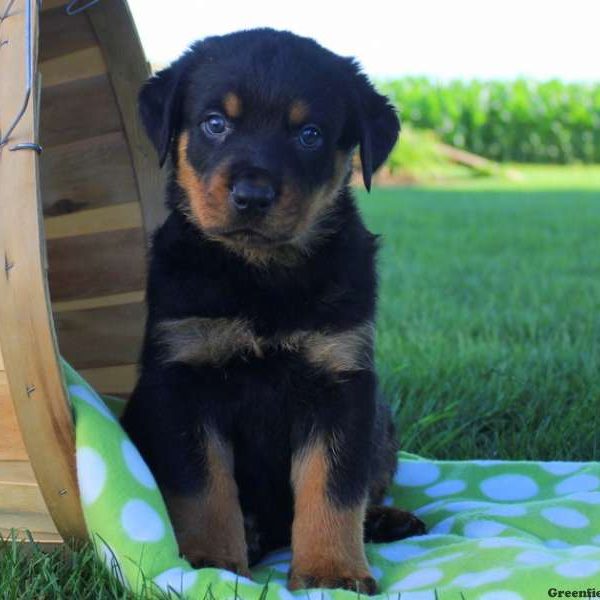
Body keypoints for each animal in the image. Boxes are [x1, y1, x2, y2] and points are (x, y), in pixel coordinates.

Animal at [122, 29, 424, 596]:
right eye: (215, 123)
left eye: (309, 134)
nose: (252, 195)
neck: (261, 274)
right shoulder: (183, 381)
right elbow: (203, 486)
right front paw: (213, 562)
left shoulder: (341, 382)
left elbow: (333, 486)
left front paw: (331, 570)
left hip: (383, 421)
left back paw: (386, 520)